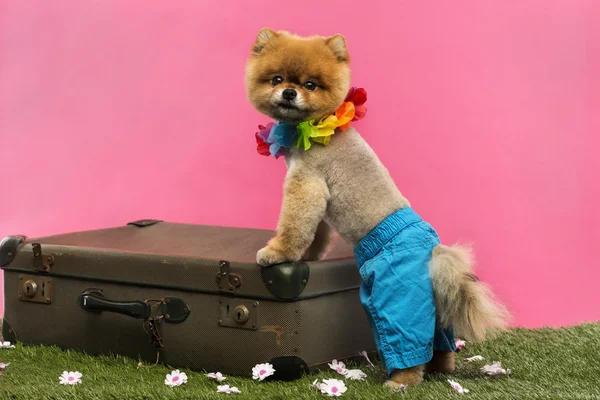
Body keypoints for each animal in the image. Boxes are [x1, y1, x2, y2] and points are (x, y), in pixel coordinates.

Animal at [246, 28, 508, 388]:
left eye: (311, 85)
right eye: (276, 79)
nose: (288, 92)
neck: (315, 130)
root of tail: (434, 251)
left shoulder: (307, 184)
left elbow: (294, 226)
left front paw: (277, 253)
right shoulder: (319, 197)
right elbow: (316, 234)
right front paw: (308, 256)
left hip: (395, 294)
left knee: (407, 340)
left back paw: (402, 380)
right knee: (440, 340)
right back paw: (438, 369)